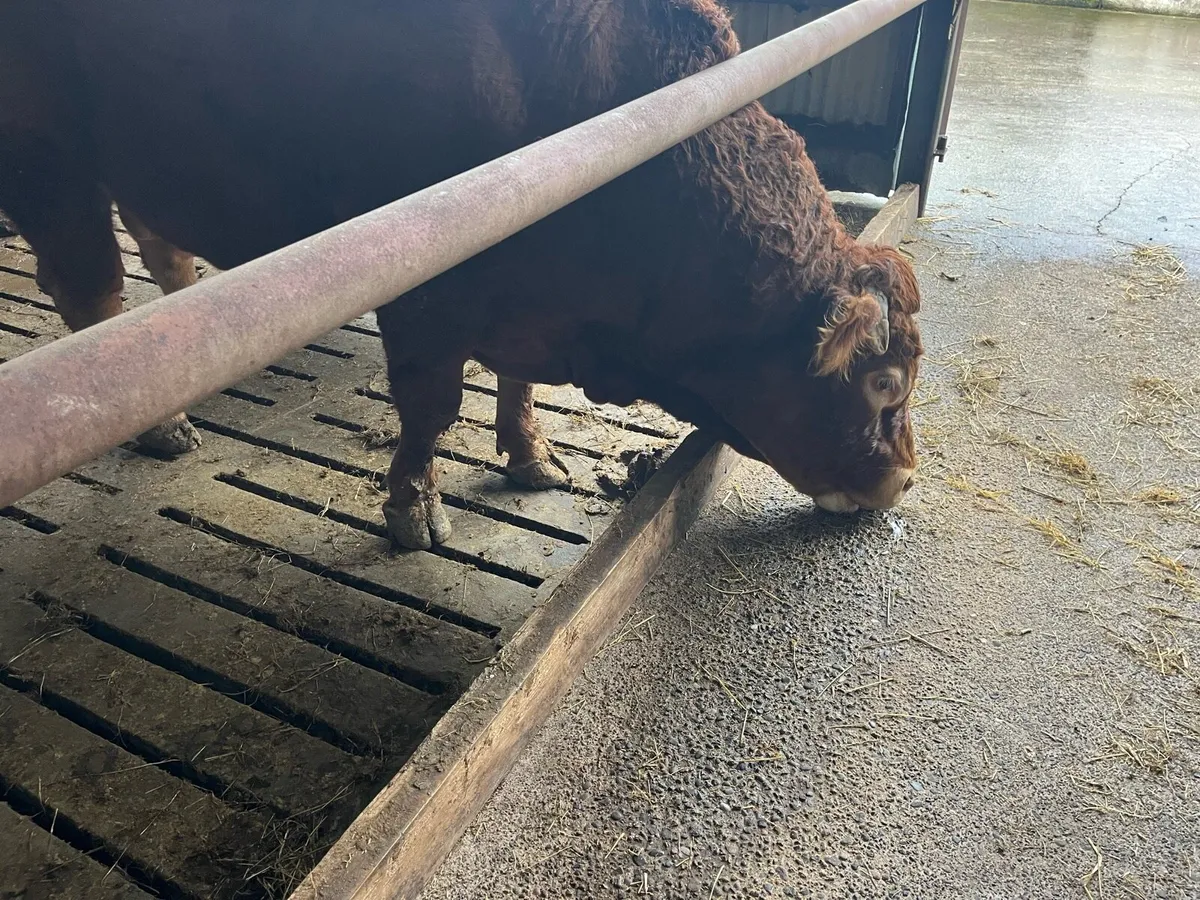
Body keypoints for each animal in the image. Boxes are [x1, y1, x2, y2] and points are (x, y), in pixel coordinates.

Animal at [0, 0, 923, 550]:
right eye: (879, 382)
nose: (901, 478)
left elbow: (515, 384)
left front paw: (531, 456)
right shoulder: (424, 291)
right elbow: (431, 409)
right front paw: (414, 509)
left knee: (161, 257)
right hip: (46, 154)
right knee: (90, 292)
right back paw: (162, 423)